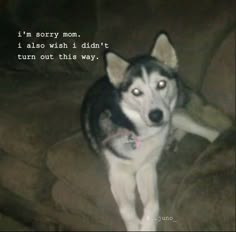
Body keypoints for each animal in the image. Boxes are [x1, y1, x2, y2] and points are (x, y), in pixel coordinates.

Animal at [80, 32, 219, 230]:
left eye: (161, 84)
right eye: (136, 91)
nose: (156, 115)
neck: (136, 131)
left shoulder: (147, 168)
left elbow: (153, 204)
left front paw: (147, 226)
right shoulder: (118, 174)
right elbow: (126, 210)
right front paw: (134, 226)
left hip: (176, 114)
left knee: (211, 132)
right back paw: (172, 140)